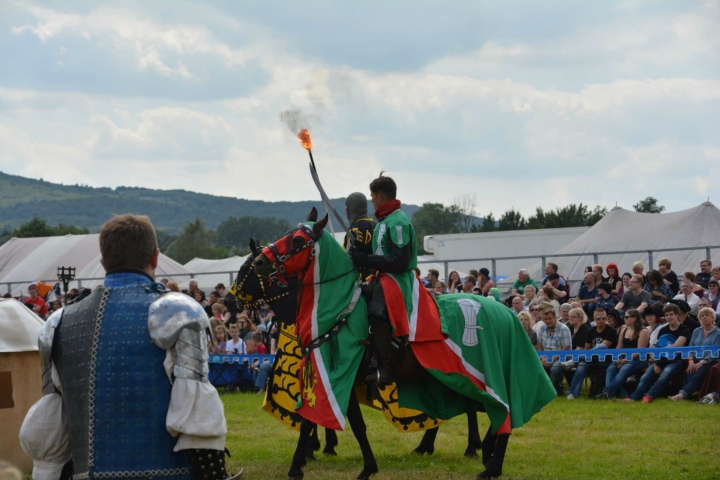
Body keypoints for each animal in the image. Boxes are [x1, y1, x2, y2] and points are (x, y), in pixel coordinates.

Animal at [250, 214, 556, 480]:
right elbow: (331, 423)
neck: (338, 311)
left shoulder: (340, 377)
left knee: (502, 409)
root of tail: (505, 312)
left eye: (298, 240)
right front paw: (329, 464)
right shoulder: (331, 379)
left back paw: (489, 465)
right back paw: (480, 453)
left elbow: (330, 423)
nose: (260, 263)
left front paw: (304, 466)